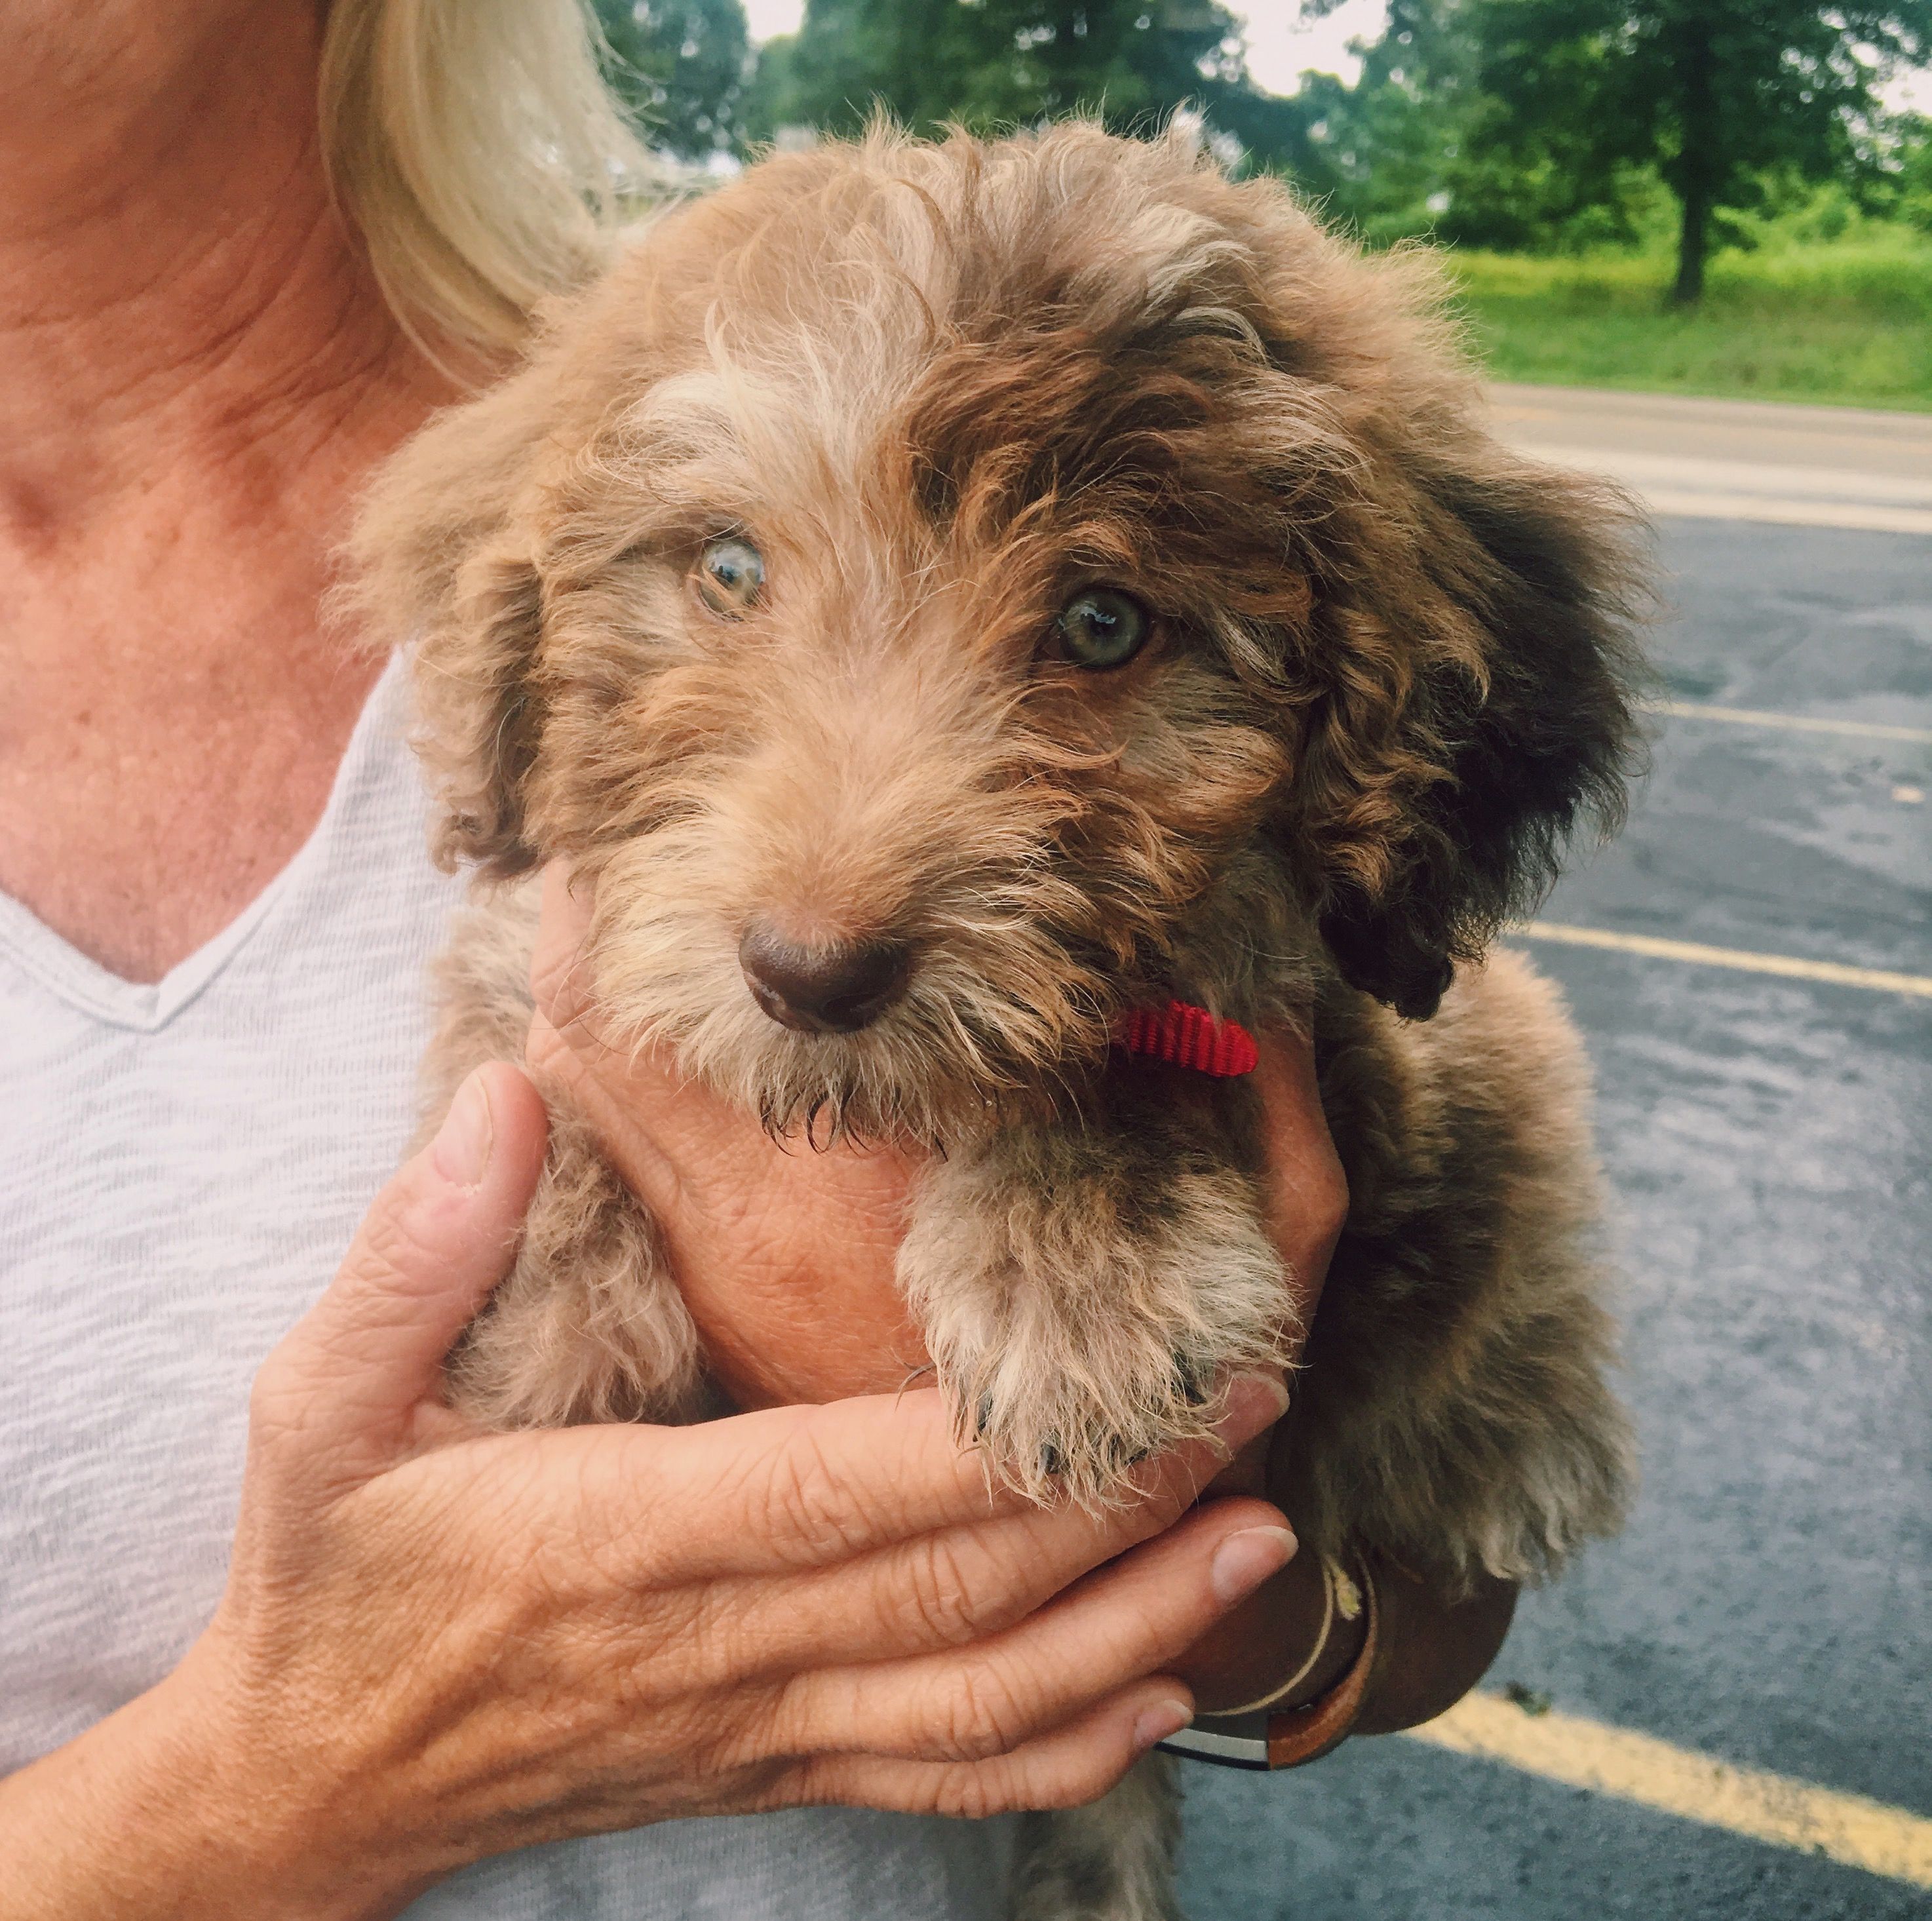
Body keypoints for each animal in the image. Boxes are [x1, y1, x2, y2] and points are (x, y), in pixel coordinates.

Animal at [343, 123, 1646, 1917]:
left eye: (1104, 624)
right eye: (728, 567)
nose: (809, 971)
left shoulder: (1338, 1023)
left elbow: (1146, 1043)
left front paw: (1082, 1263)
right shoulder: (541, 946)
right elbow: (523, 1061)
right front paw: (557, 1305)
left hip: (1493, 1055)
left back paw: (1514, 1440)